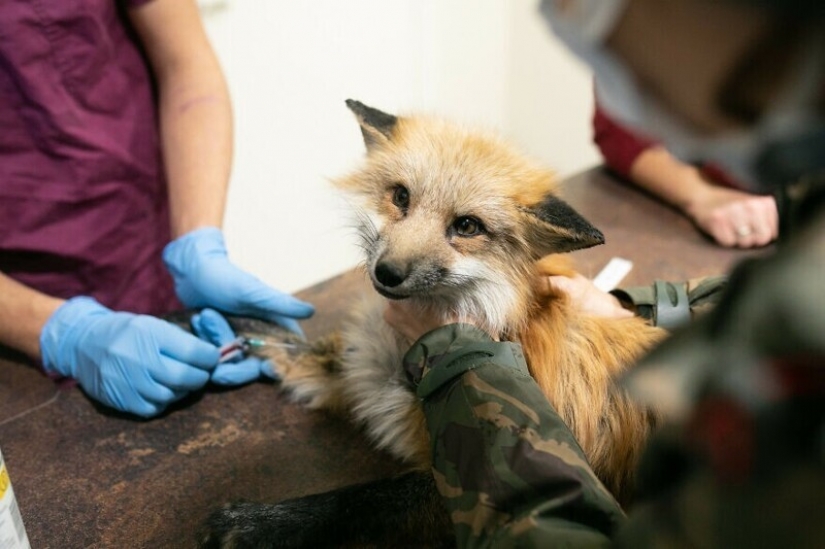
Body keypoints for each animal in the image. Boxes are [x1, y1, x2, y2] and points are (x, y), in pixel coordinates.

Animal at [200, 100, 666, 548]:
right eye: (401, 196)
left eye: (467, 226)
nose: (387, 273)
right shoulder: (361, 372)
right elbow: (289, 346)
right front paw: (223, 311)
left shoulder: (466, 492)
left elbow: (362, 501)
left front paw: (261, 523)